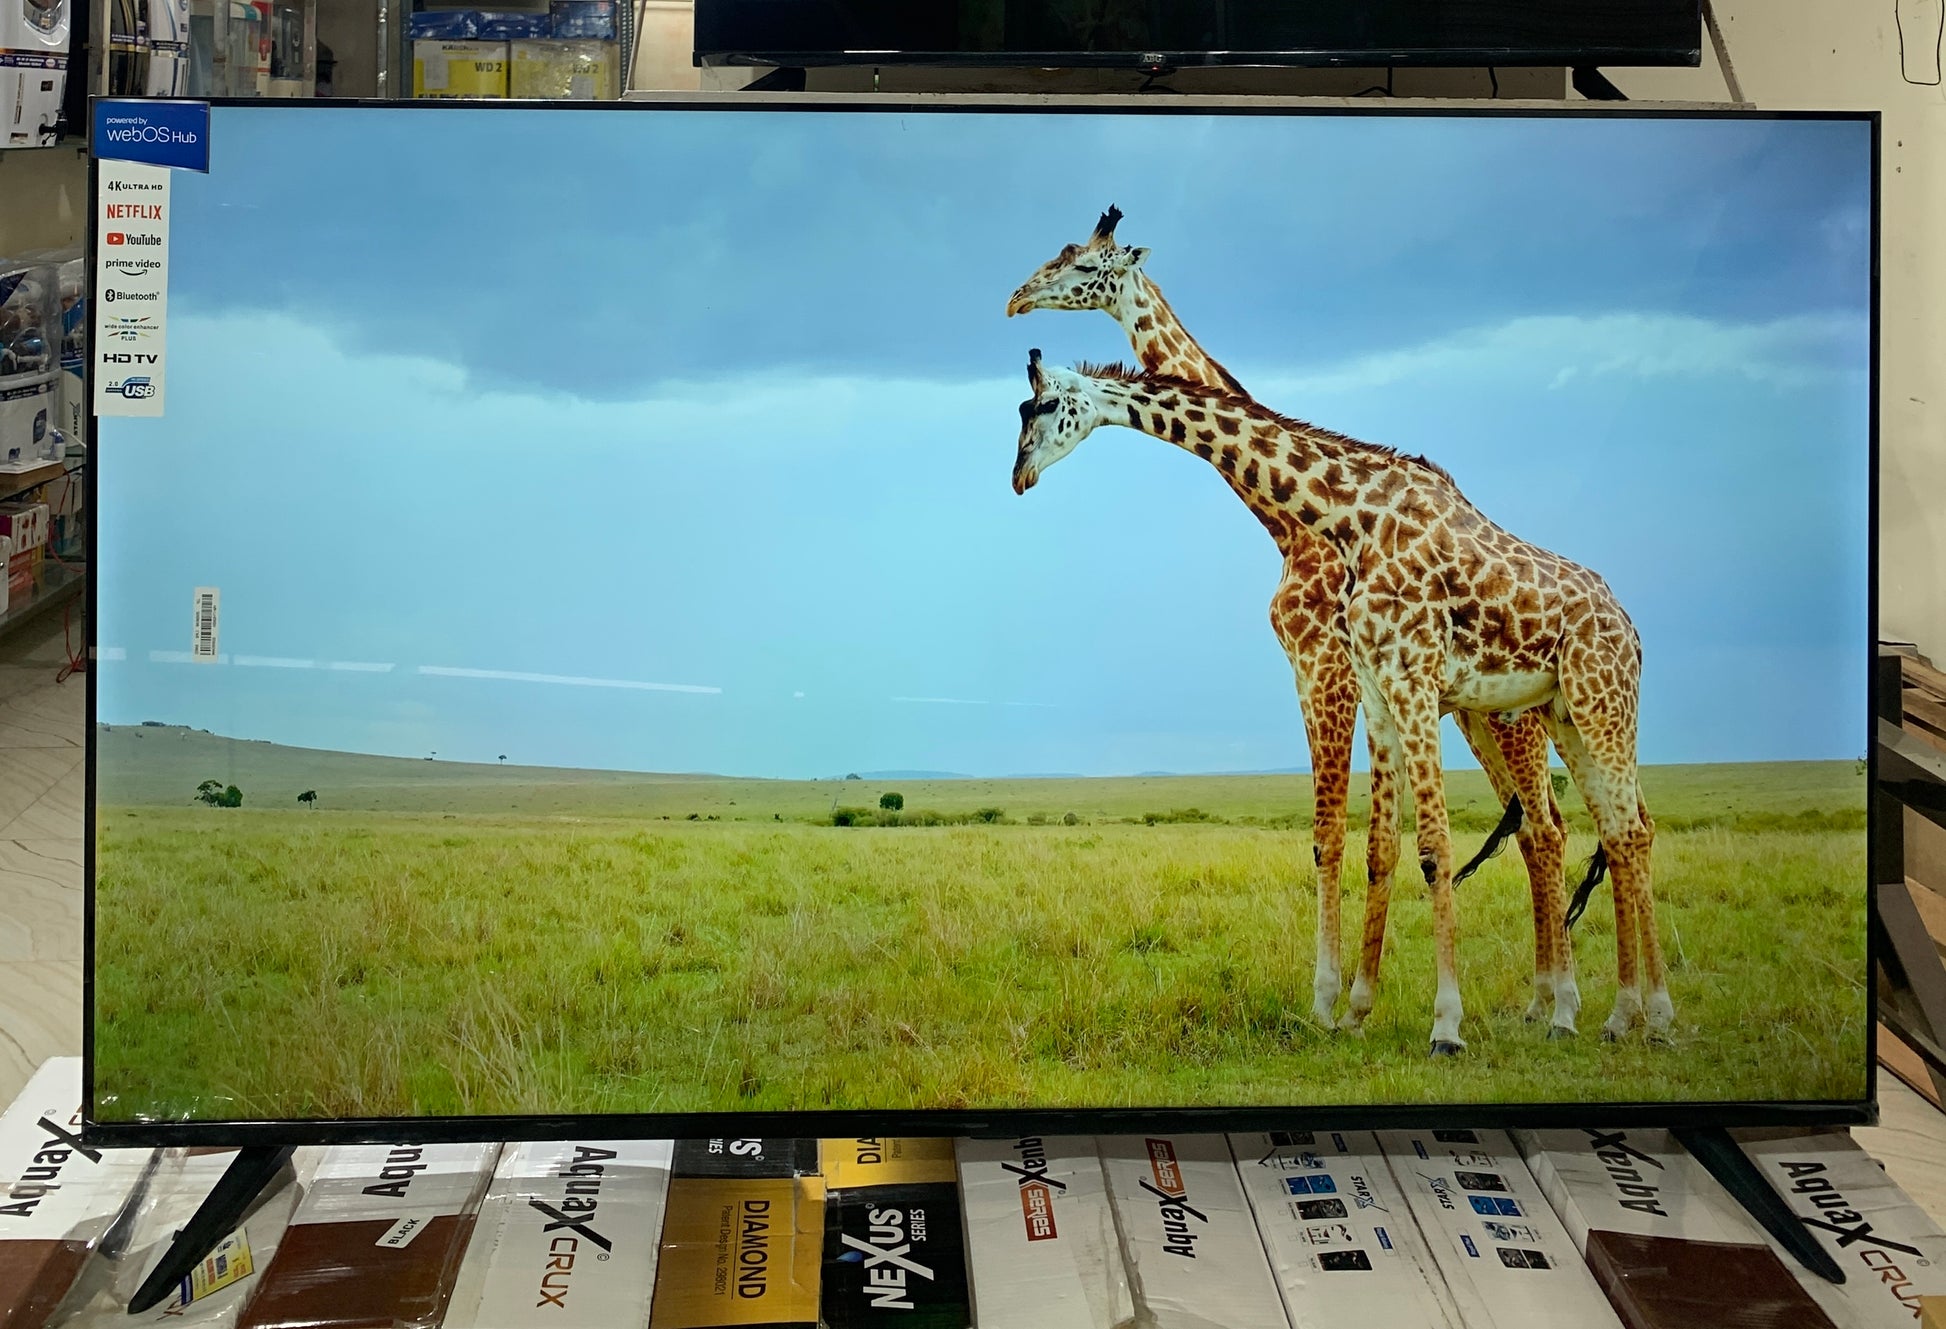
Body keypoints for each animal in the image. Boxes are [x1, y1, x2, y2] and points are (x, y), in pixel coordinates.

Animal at [1007, 208, 1583, 1037]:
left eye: (1083, 265)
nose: (1016, 300)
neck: (1289, 524)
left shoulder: (1327, 667)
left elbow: (1333, 835)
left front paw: (1329, 999)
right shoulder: (1352, 680)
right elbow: (1370, 840)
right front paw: (1355, 999)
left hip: (1512, 719)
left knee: (1549, 827)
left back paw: (1556, 1002)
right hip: (1478, 716)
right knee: (1543, 827)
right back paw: (1542, 1000)